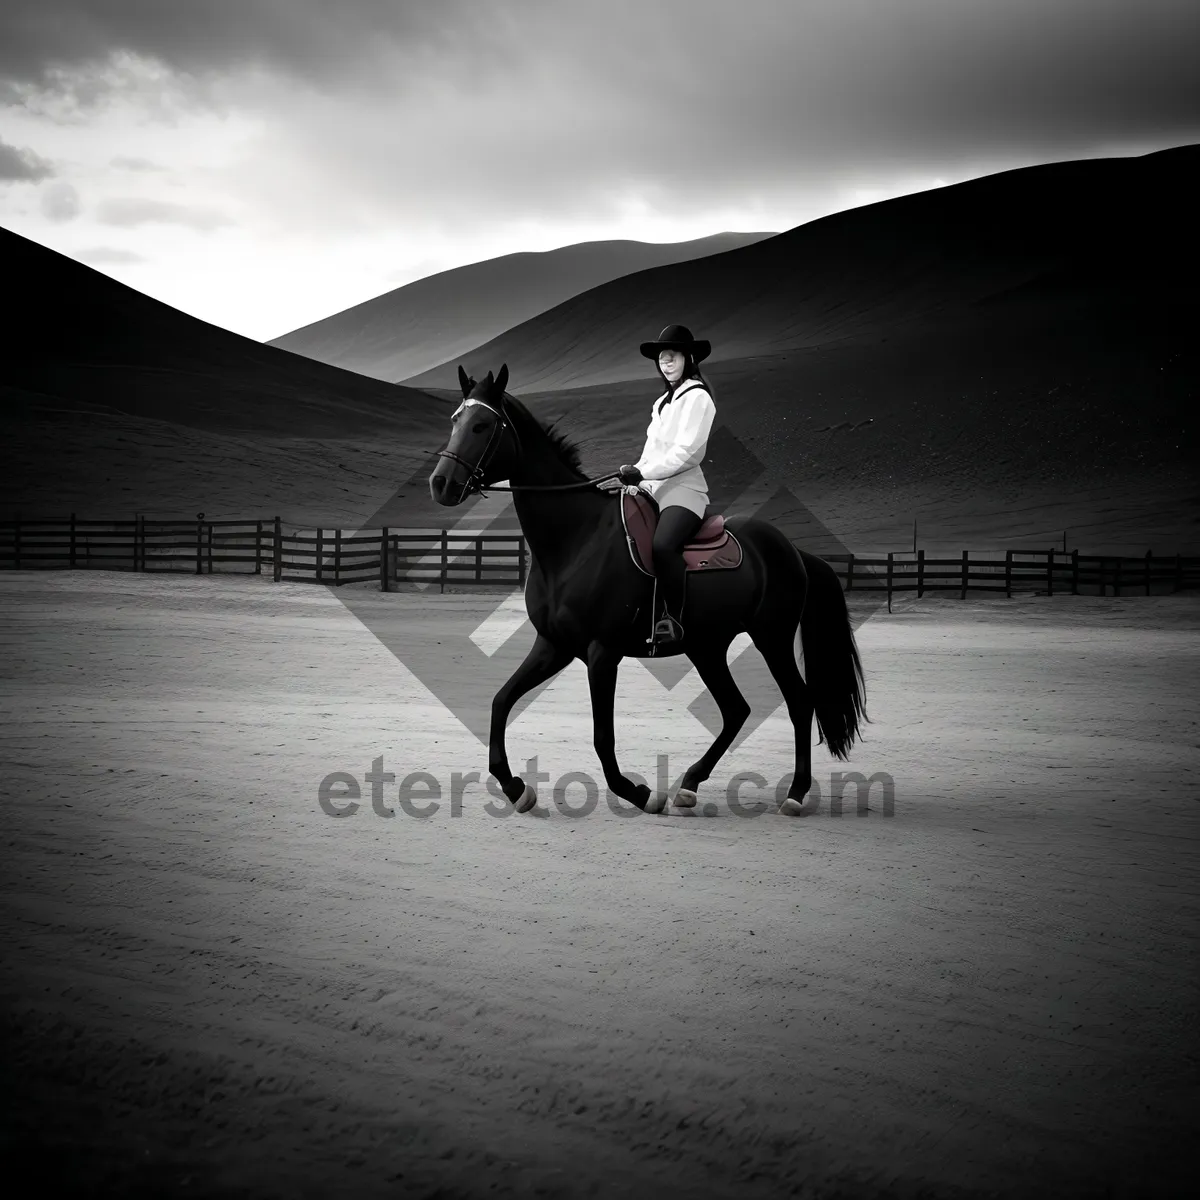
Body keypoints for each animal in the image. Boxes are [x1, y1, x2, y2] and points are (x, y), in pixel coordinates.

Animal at [427, 362, 868, 816]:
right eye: (455, 420)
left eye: (482, 425)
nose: (441, 483)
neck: (577, 538)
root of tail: (792, 550)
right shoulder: (554, 646)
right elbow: (501, 702)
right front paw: (516, 788)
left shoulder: (602, 653)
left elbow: (603, 737)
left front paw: (638, 792)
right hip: (707, 646)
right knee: (736, 710)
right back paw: (690, 784)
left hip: (772, 638)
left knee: (799, 703)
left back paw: (795, 793)